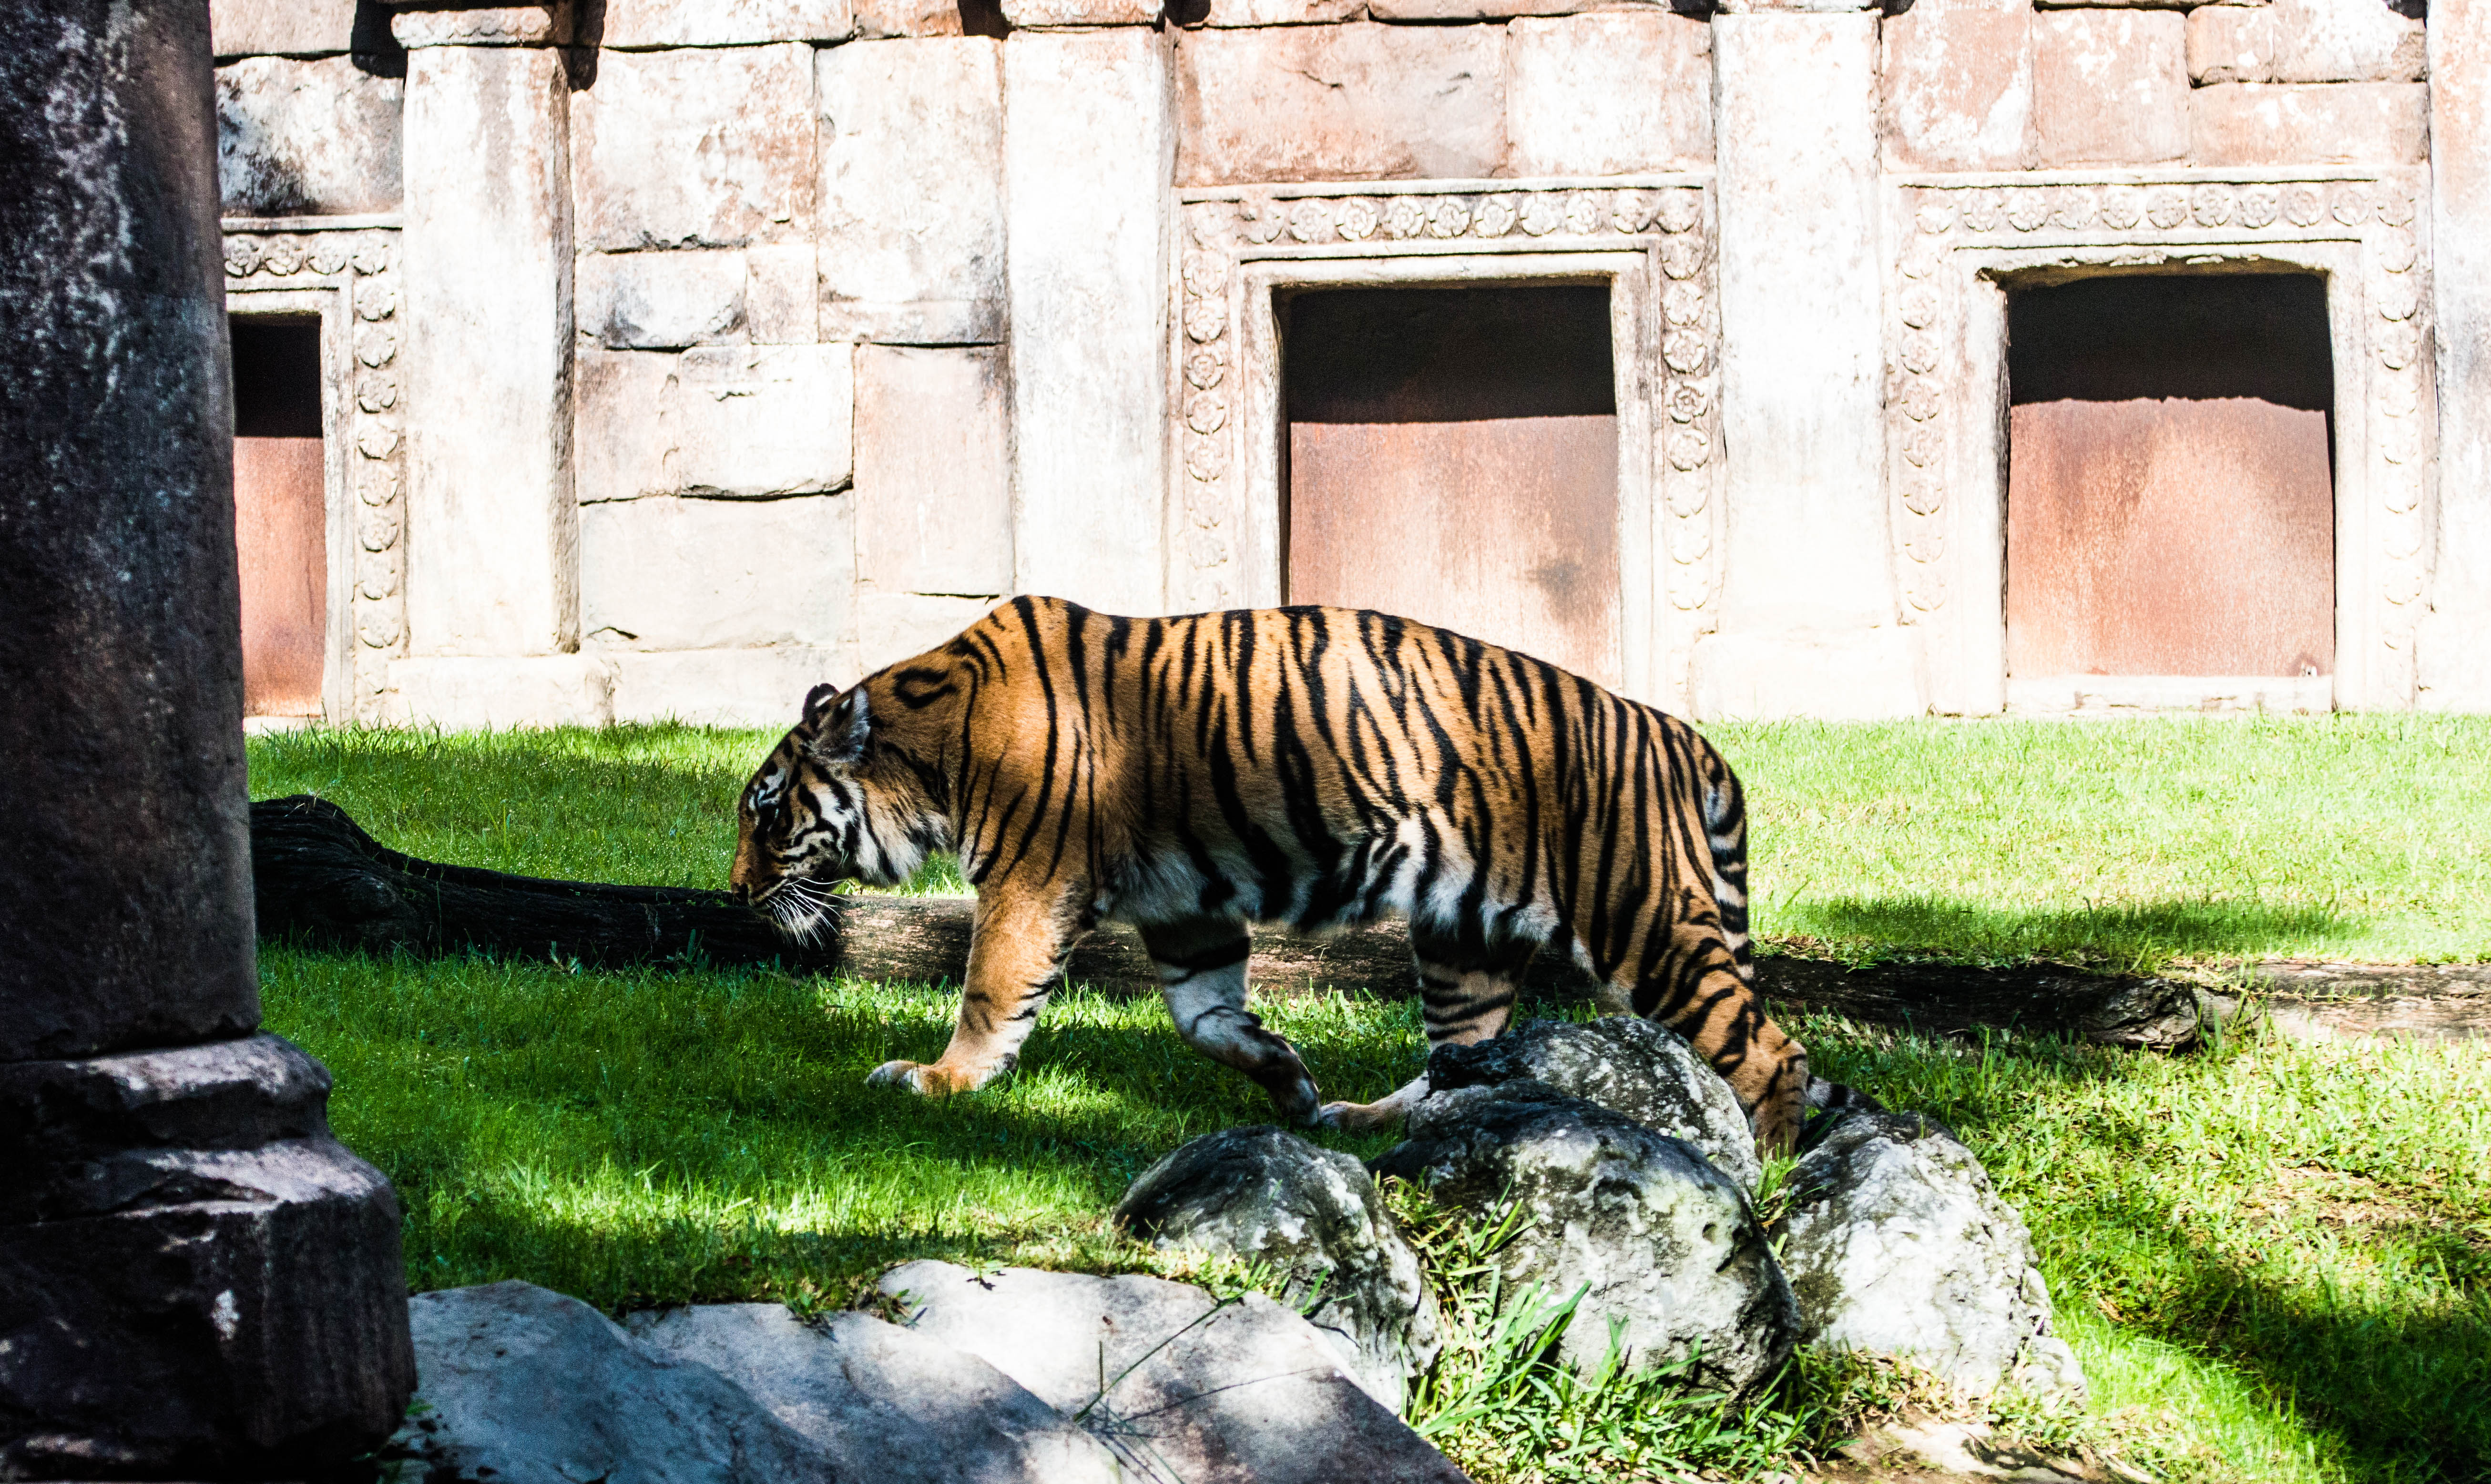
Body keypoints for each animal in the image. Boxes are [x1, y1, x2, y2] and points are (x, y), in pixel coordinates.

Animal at [729, 596, 1811, 1151]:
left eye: (767, 811)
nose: (737, 891)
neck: (931, 753)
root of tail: (1675, 729)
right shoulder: (1185, 909)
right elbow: (1205, 1020)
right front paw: (1286, 1074)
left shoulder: (1031, 882)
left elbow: (991, 991)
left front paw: (939, 1079)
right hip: (1465, 935)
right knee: (1460, 1058)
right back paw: (1360, 1116)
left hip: (1639, 915)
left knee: (1771, 1052)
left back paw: (1772, 1180)